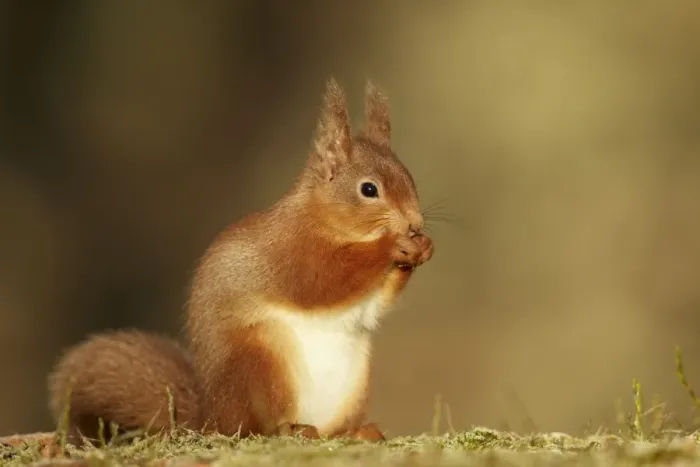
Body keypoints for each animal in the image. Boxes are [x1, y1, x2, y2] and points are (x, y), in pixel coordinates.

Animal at [48, 78, 434, 444]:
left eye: (411, 177)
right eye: (369, 190)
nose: (415, 223)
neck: (323, 219)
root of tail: (210, 419)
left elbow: (375, 304)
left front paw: (423, 247)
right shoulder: (290, 251)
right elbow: (321, 280)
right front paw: (392, 244)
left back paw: (354, 432)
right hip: (259, 363)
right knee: (251, 428)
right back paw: (289, 430)